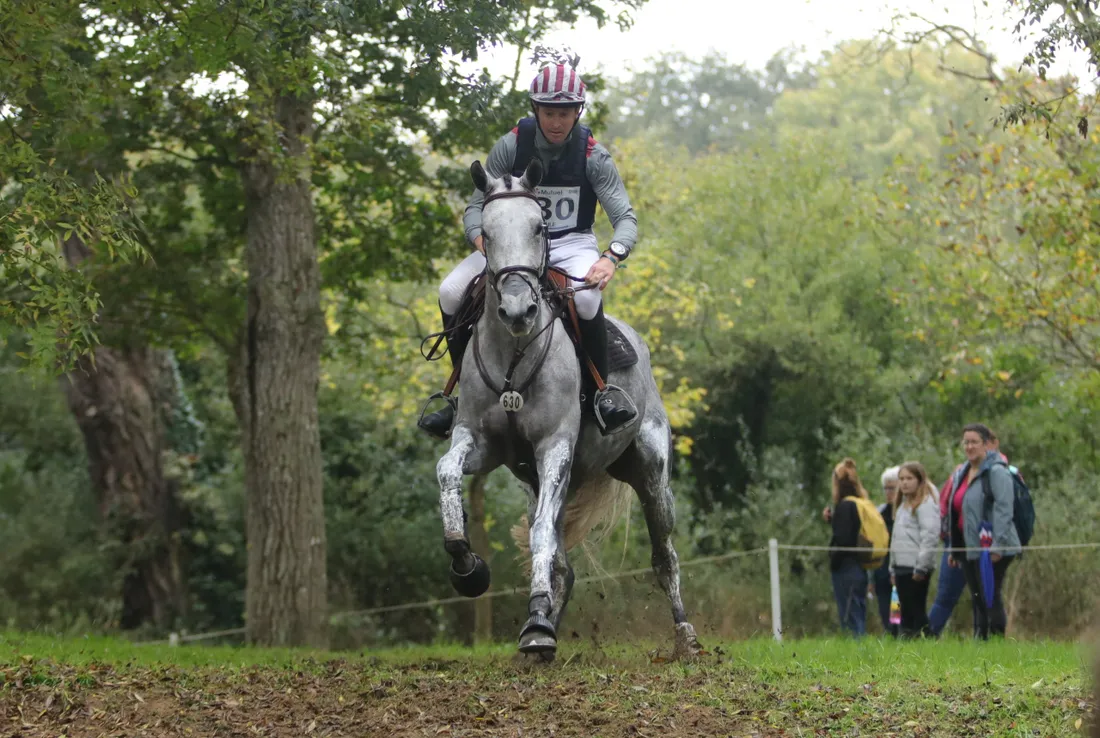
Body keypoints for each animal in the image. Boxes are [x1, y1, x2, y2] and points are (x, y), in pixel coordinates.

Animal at [433, 157, 699, 659]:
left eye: (539, 227)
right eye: (488, 233)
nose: (518, 310)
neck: (514, 356)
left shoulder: (554, 446)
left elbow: (539, 533)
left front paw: (537, 623)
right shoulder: (480, 442)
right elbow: (448, 471)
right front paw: (467, 565)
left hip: (651, 475)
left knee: (664, 555)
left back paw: (685, 635)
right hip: (536, 480)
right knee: (563, 562)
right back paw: (542, 627)